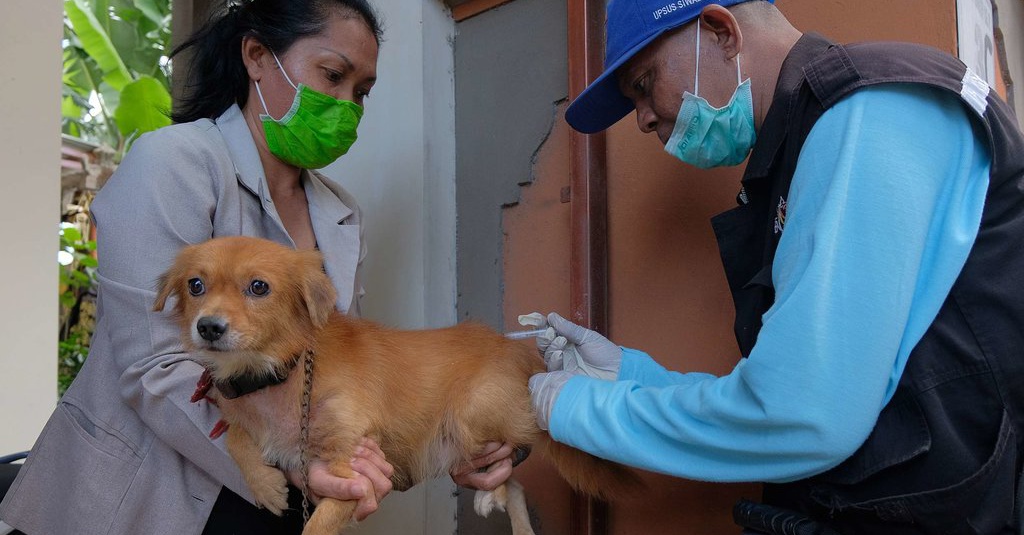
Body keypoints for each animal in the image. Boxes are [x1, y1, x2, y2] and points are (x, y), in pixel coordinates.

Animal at [154, 236, 634, 532]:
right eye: (195, 285)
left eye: (258, 287)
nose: (208, 327)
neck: (279, 374)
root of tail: (512, 347)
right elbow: (235, 434)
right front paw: (267, 485)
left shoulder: (354, 465)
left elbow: (318, 524)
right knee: (514, 483)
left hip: (472, 414)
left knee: (511, 457)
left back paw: (491, 495)